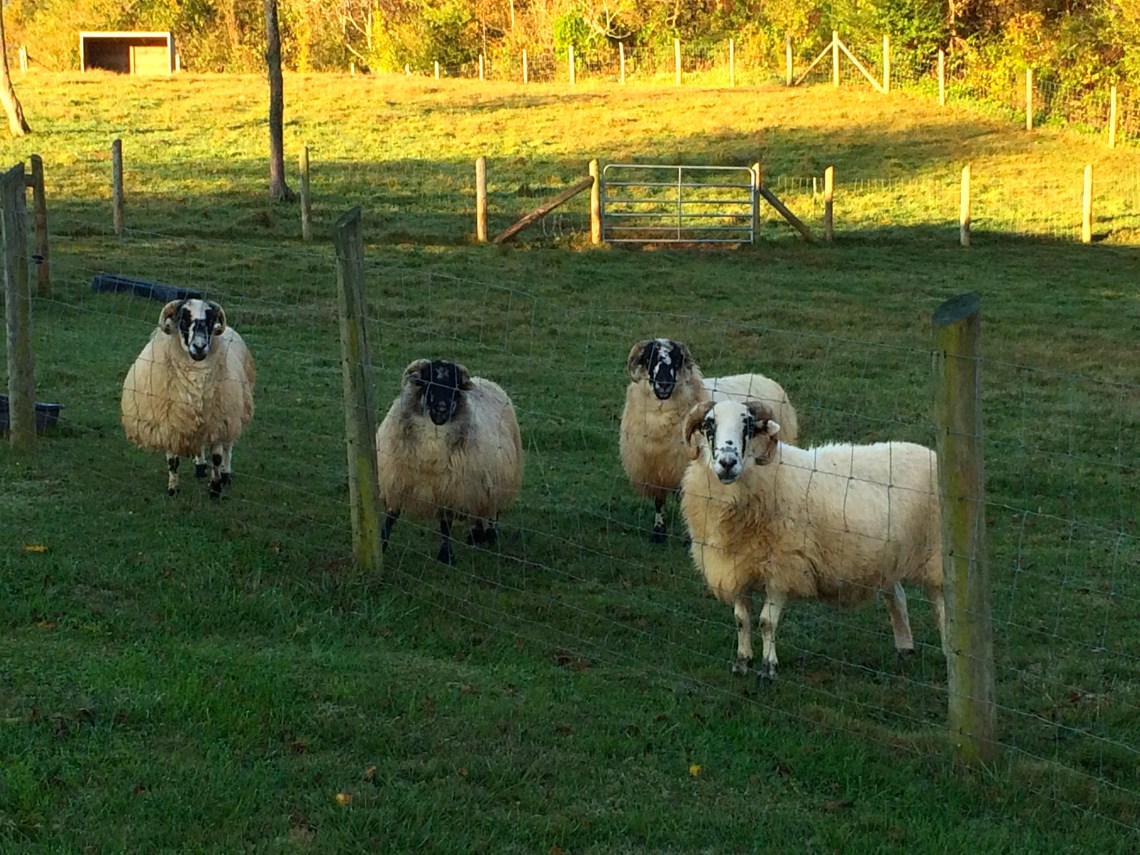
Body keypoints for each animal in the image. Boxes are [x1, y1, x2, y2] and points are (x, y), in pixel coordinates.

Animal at [121, 298, 256, 498]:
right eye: (184, 319)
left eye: (211, 320)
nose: (199, 347)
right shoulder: (169, 423)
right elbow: (173, 461)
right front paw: (173, 489)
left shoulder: (219, 421)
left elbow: (217, 457)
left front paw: (215, 488)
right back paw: (200, 467)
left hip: (234, 411)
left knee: (228, 446)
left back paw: (226, 474)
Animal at [376, 358, 523, 565]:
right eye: (428, 382)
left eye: (454, 386)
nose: (442, 408)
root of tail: (486, 380)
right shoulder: (399, 479)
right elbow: (391, 516)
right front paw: (381, 544)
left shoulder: (450, 486)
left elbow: (445, 523)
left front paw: (446, 556)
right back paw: (476, 534)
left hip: (492, 478)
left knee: (491, 507)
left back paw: (488, 533)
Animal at [619, 338, 799, 543]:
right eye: (649, 358)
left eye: (677, 359)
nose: (663, 383)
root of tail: (765, 378)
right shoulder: (654, 469)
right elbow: (659, 501)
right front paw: (658, 532)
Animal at [679, 398, 945, 683]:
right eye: (708, 425)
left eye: (749, 426)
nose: (727, 462)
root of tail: (932, 454)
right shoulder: (735, 566)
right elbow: (742, 619)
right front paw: (741, 662)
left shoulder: (783, 567)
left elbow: (766, 622)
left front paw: (768, 668)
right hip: (887, 557)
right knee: (897, 597)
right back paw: (905, 649)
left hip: (936, 552)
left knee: (942, 607)